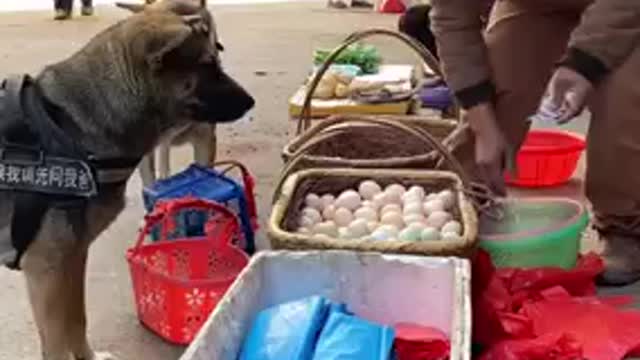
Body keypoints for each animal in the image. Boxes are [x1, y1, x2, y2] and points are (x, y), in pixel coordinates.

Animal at [0, 1, 255, 358]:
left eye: (216, 56)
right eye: (206, 66)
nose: (251, 101)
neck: (68, 126)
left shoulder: (71, 260)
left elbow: (76, 322)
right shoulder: (47, 269)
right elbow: (58, 339)